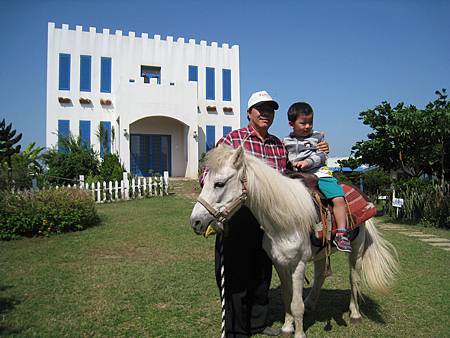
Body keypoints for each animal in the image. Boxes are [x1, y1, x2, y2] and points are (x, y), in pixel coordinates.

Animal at [190, 145, 398, 338]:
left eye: (219, 183)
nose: (196, 222)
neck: (285, 219)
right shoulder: (280, 263)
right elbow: (287, 297)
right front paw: (287, 327)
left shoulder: (298, 264)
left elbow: (296, 303)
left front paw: (299, 333)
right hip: (321, 252)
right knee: (321, 275)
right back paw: (311, 304)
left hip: (357, 249)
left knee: (354, 278)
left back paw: (355, 314)